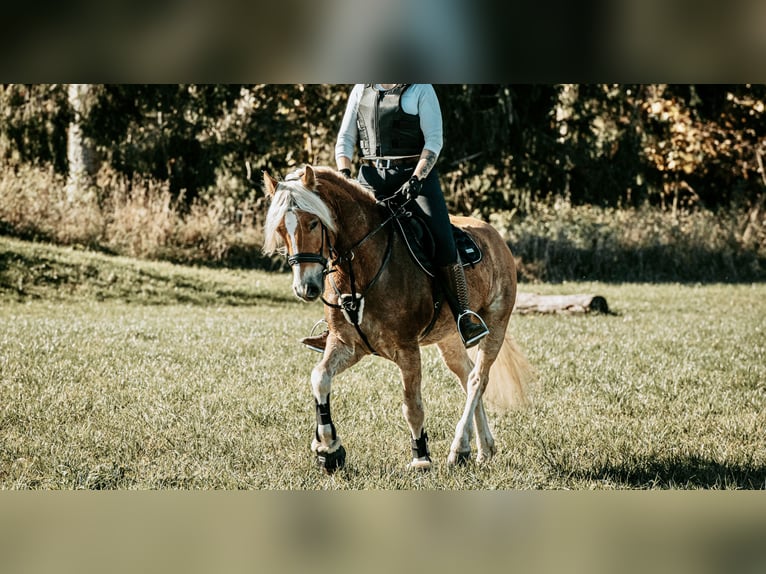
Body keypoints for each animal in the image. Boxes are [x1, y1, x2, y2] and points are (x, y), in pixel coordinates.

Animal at [263, 165, 533, 472]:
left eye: (312, 223)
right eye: (281, 229)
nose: (305, 288)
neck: (360, 266)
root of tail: (496, 237)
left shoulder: (407, 349)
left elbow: (411, 405)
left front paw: (421, 458)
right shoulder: (347, 345)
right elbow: (320, 377)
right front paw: (328, 449)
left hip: (497, 324)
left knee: (478, 379)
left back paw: (458, 447)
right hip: (449, 338)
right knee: (467, 377)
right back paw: (482, 448)